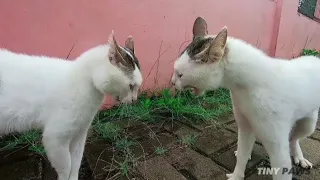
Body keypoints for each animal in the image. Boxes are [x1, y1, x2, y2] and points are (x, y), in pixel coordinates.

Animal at [0, 31, 142, 180]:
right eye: (131, 86)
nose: (135, 99)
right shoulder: (55, 138)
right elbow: (66, 166)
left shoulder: (79, 134)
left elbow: (76, 163)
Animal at [170, 16, 318, 180]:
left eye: (180, 75)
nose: (172, 82)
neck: (244, 88)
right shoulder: (245, 126)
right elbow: (242, 154)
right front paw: (237, 175)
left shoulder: (277, 145)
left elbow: (281, 170)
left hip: (308, 125)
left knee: (294, 138)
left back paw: (299, 157)